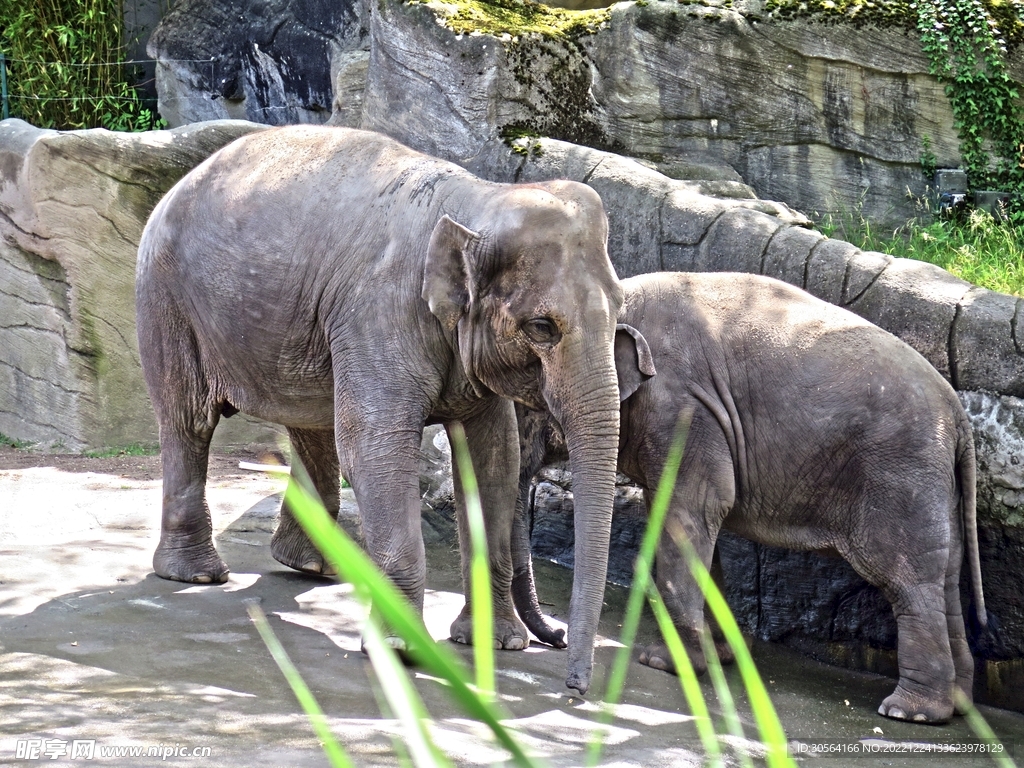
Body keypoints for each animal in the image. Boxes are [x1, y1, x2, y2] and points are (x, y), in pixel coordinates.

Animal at [135, 125, 641, 695]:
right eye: (541, 327)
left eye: (620, 309)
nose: (575, 686)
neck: (477, 201)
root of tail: (183, 180)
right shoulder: (378, 313)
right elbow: (377, 447)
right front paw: (400, 650)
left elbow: (494, 457)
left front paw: (499, 644)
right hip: (167, 299)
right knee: (189, 421)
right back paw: (197, 574)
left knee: (313, 427)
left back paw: (314, 566)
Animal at [510, 271, 986, 724]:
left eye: (523, 406)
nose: (558, 638)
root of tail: (957, 413)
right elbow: (694, 524)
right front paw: (716, 655)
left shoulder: (682, 408)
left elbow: (689, 514)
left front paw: (668, 664)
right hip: (936, 484)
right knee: (946, 579)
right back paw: (957, 705)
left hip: (901, 475)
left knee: (907, 581)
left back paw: (910, 711)